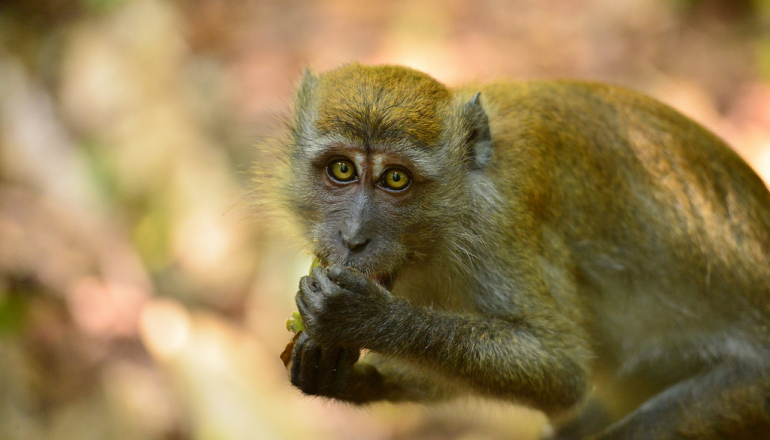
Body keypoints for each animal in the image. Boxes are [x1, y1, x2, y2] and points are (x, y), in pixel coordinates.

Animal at [276, 63, 768, 438]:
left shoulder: (503, 226)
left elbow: (562, 372)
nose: (354, 237)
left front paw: (365, 317)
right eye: (342, 169)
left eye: (395, 178)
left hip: (749, 392)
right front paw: (343, 376)